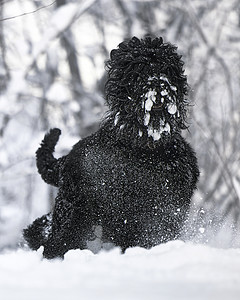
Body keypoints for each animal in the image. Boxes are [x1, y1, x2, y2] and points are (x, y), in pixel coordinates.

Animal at [23, 37, 200, 258]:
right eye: (138, 71)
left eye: (167, 69)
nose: (159, 84)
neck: (149, 149)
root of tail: (65, 160)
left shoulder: (170, 210)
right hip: (71, 214)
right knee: (56, 241)